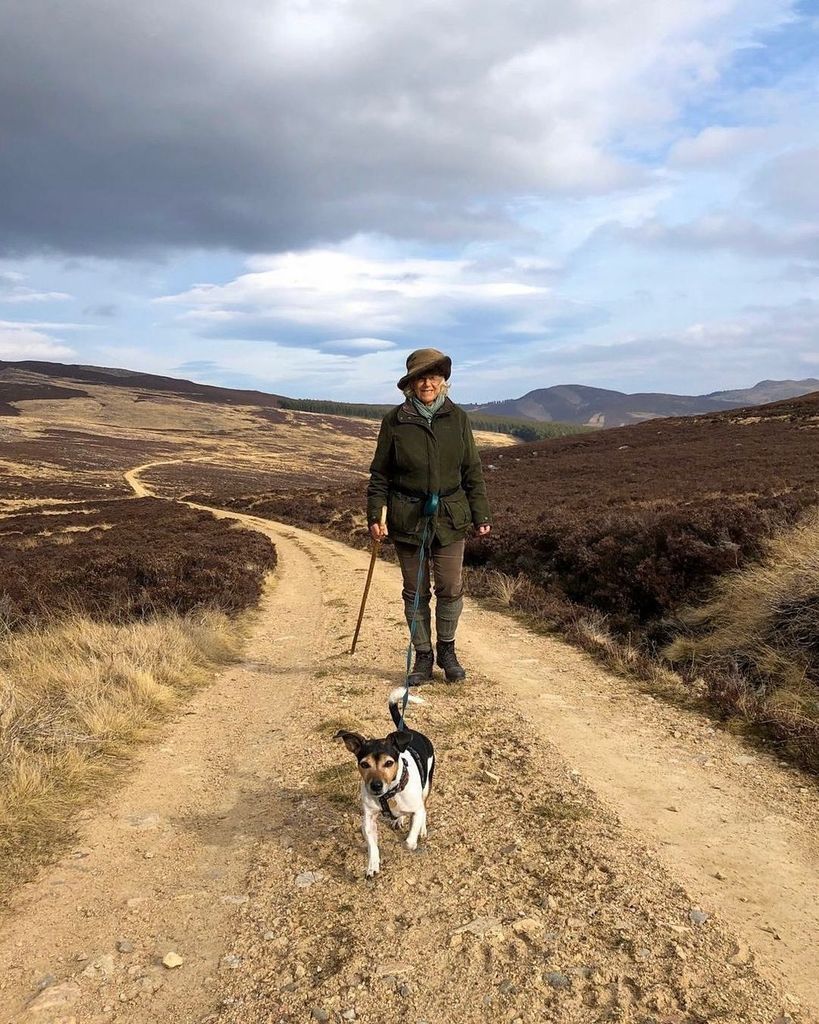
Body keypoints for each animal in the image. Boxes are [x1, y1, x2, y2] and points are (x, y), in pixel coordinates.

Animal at [331, 684, 434, 876]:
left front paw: (412, 840)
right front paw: (372, 866)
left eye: (389, 763)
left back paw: (421, 829)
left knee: (424, 807)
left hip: (427, 786)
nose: (376, 786)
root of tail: (407, 731)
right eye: (364, 764)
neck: (389, 794)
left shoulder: (416, 809)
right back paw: (398, 820)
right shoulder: (369, 819)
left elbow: (409, 840)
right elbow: (372, 845)